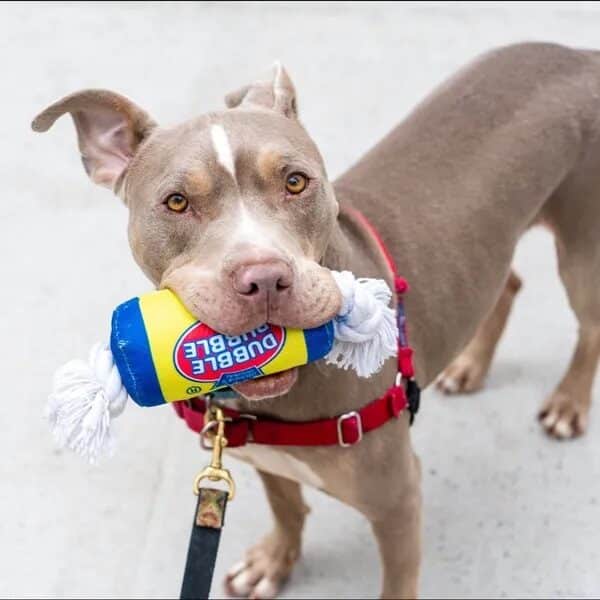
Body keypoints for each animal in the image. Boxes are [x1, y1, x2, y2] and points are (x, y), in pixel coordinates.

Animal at [31, 43, 600, 600]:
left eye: (295, 181)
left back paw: (567, 405)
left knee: (588, 327)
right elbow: (287, 507)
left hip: (581, 253)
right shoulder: (269, 462)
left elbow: (396, 584)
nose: (264, 278)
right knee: (507, 285)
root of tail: (578, 53)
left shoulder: (398, 499)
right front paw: (274, 563)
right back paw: (471, 366)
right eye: (176, 202)